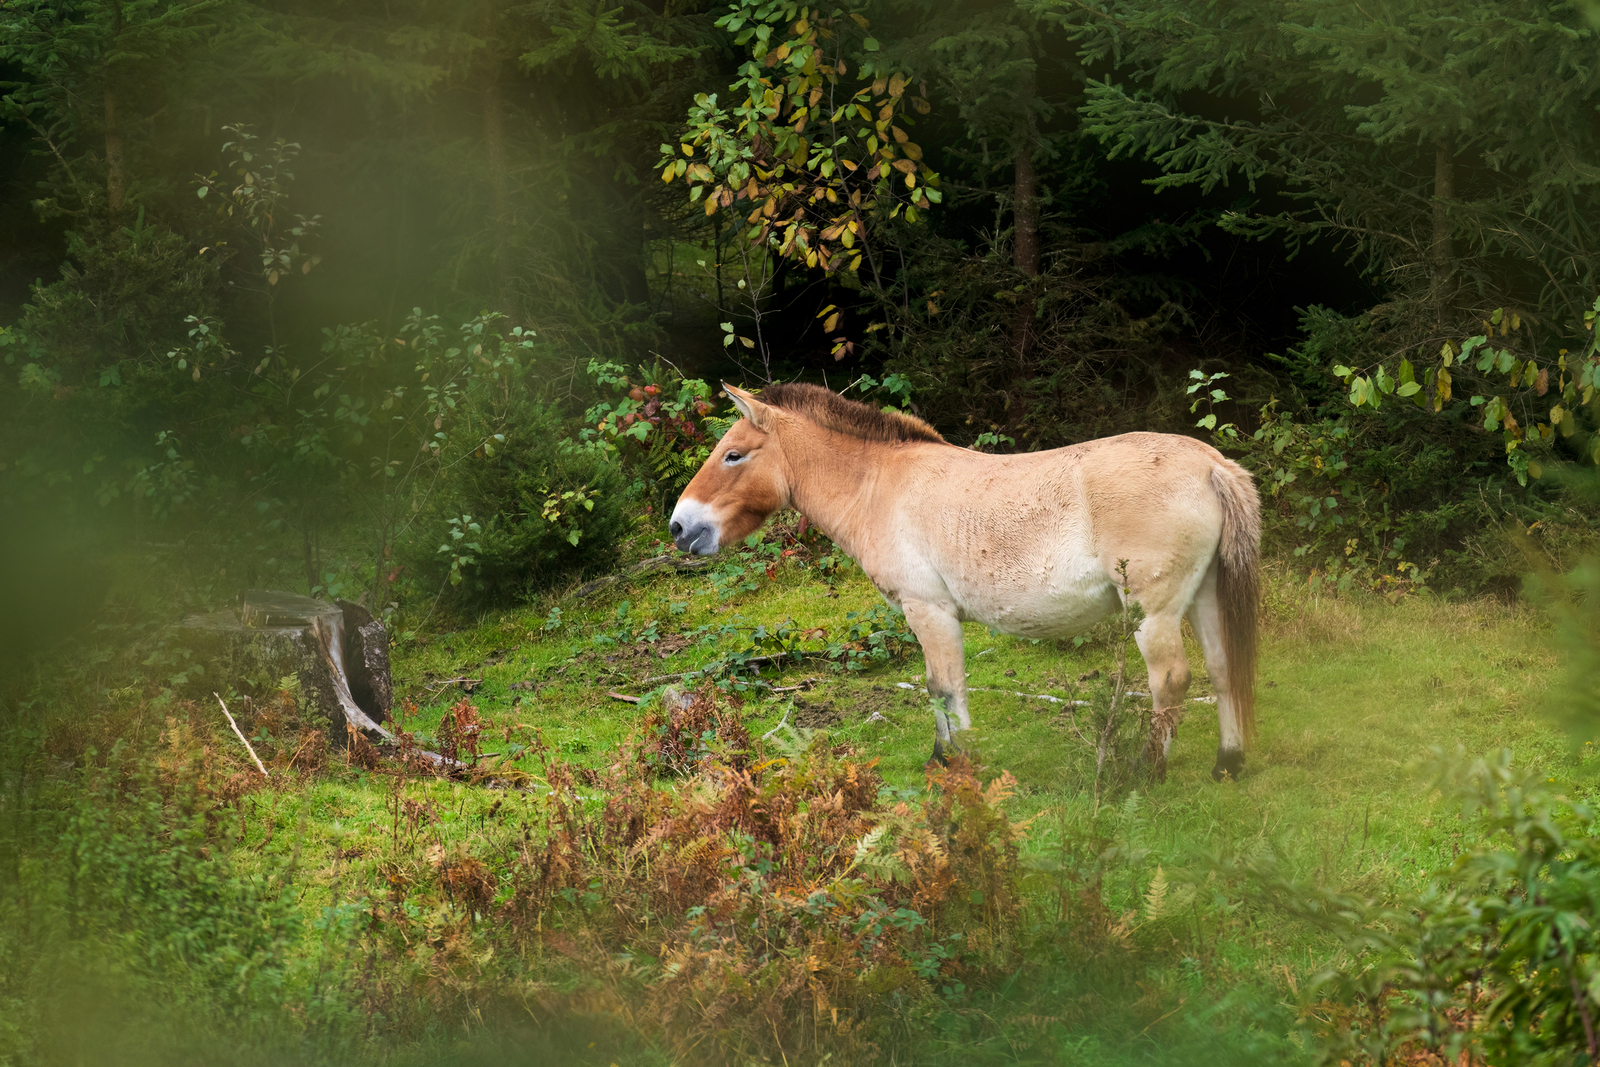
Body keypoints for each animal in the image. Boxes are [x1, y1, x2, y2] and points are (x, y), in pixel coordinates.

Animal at [668, 382, 1254, 777]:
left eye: (733, 455)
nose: (679, 526)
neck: (878, 485)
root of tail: (1210, 465)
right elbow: (939, 689)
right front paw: (944, 758)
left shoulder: (928, 610)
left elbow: (945, 687)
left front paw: (956, 762)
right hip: (1201, 597)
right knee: (1223, 669)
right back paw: (1228, 762)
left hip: (1154, 614)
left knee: (1171, 681)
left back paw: (1144, 771)